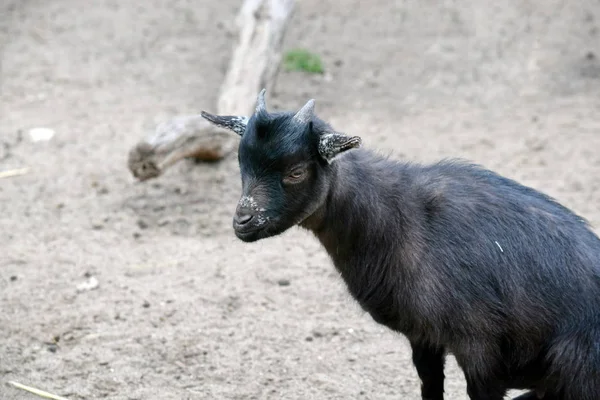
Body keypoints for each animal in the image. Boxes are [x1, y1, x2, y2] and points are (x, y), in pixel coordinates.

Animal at [200, 90, 600, 400]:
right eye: (241, 163)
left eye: (296, 171)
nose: (242, 222)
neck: (396, 217)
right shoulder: (424, 336)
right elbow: (430, 386)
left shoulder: (480, 348)